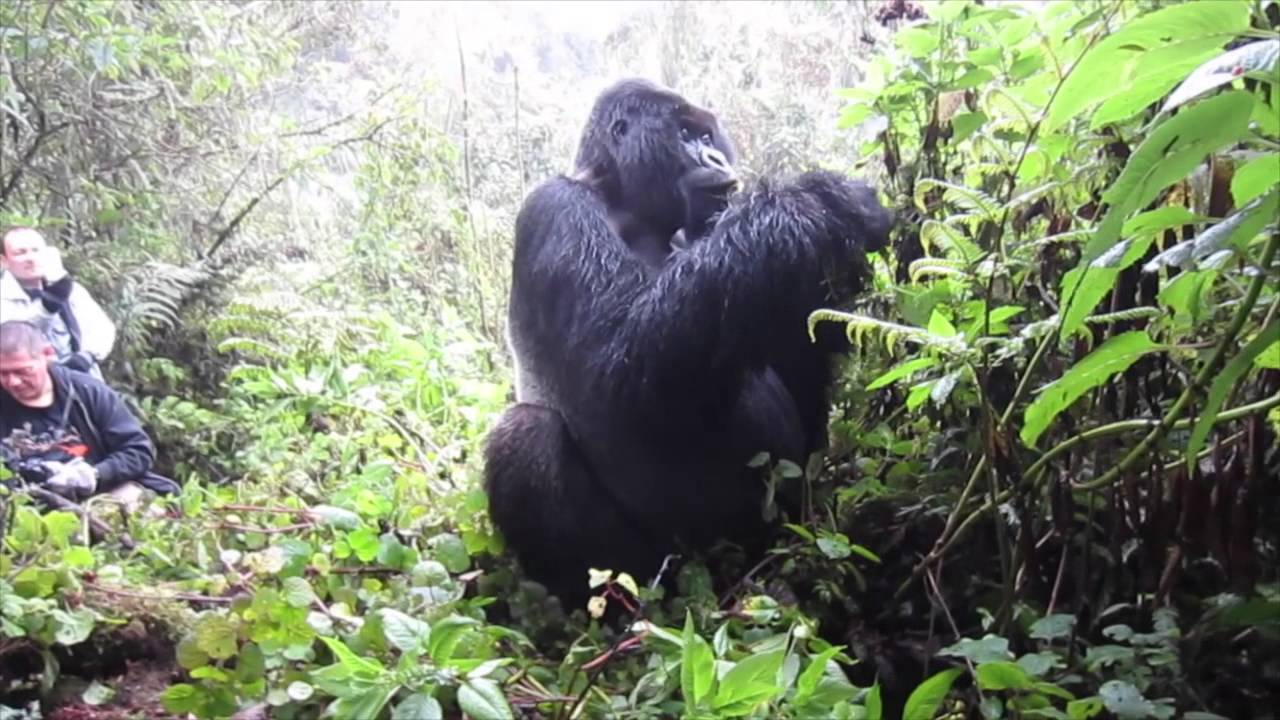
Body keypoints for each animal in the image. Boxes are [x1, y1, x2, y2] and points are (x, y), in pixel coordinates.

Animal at [481, 78, 890, 602]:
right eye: (683, 134)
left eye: (708, 137)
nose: (715, 157)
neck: (620, 198)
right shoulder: (555, 209)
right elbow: (621, 375)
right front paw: (807, 208)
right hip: (662, 567)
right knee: (526, 435)